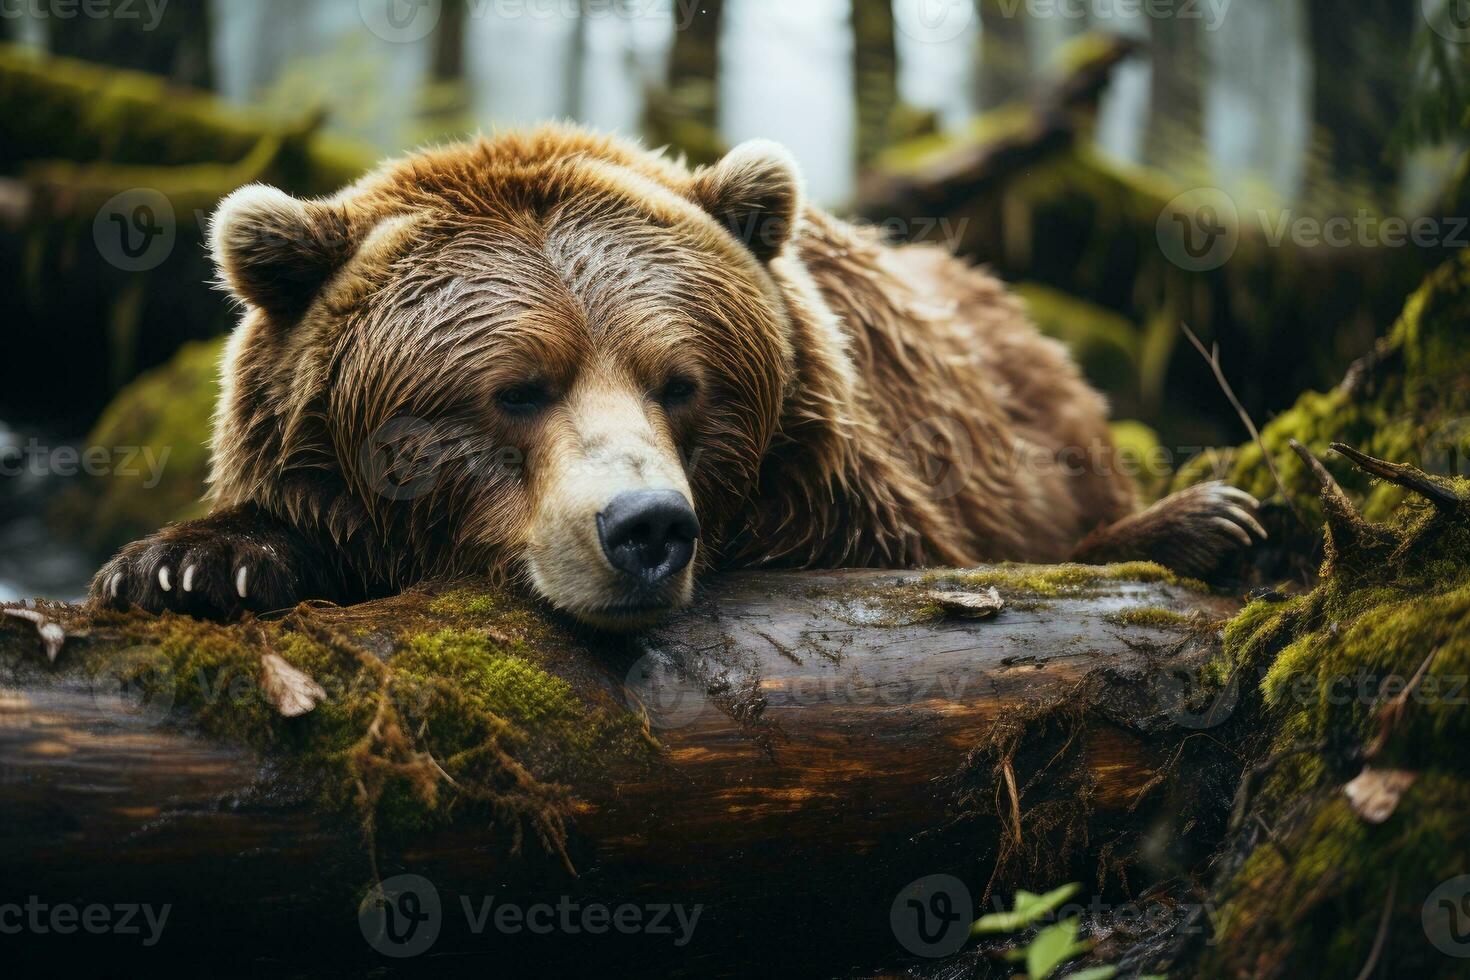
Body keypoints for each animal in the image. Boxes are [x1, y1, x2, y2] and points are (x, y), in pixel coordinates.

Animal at [91, 124, 1264, 628]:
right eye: (516, 389)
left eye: (681, 381)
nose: (647, 525)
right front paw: (195, 563)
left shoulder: (841, 479)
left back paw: (1201, 521)